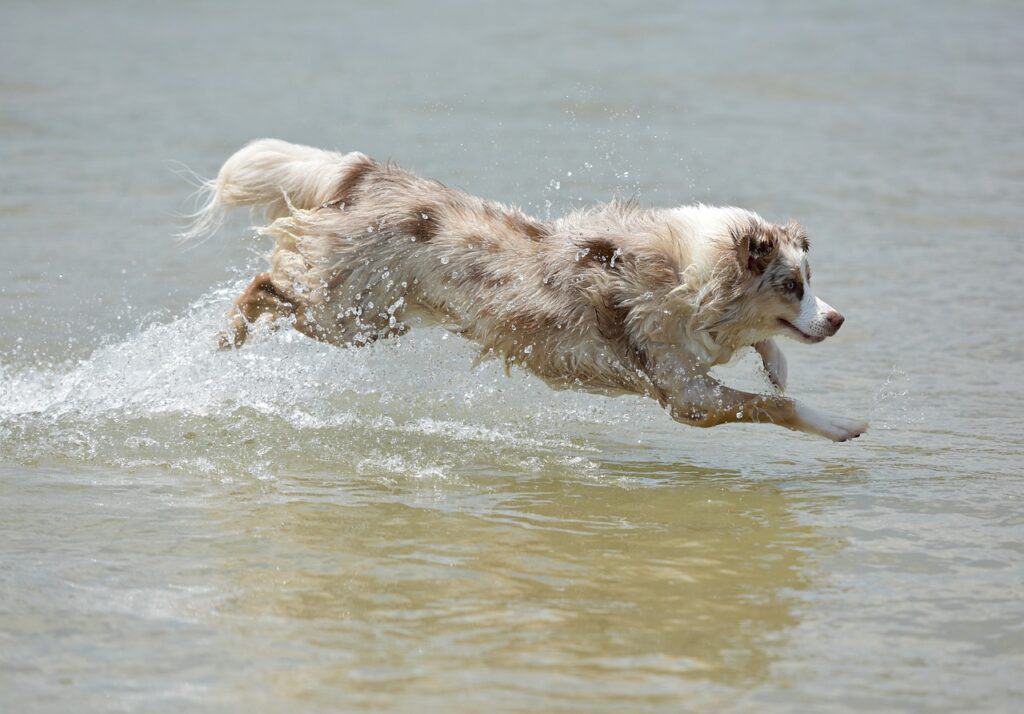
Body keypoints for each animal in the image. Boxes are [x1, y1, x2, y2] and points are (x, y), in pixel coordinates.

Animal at [184, 139, 864, 440]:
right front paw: (840, 423)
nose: (838, 320)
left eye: (810, 283)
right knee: (264, 285)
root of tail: (367, 172)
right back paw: (223, 342)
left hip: (377, 318)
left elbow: (765, 357)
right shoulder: (687, 395)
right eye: (791, 285)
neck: (689, 276)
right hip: (347, 316)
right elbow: (773, 406)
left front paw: (778, 367)